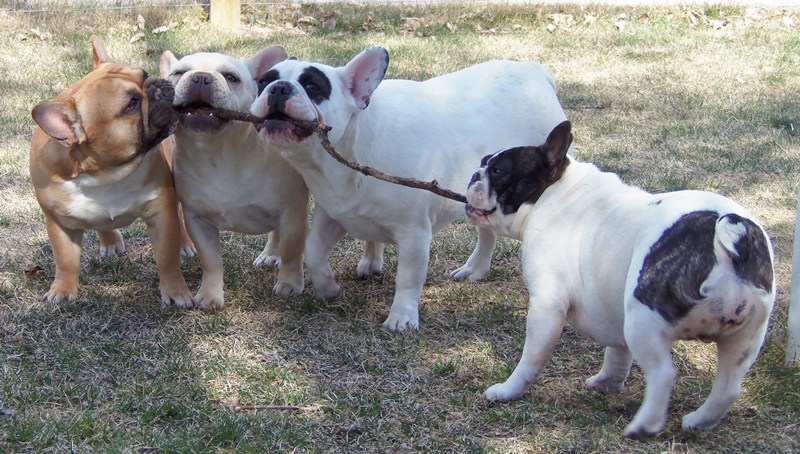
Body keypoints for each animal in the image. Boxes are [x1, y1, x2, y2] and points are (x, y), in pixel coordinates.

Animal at [29, 36, 192, 307]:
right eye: (131, 104)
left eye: (143, 74)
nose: (158, 87)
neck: (106, 173)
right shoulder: (59, 223)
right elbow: (64, 260)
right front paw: (62, 290)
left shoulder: (161, 212)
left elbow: (167, 258)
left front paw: (176, 292)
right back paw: (109, 240)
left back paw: (185, 244)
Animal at [159, 47, 313, 309]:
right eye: (178, 73)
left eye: (231, 78)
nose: (200, 77)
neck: (219, 154)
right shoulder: (198, 221)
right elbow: (211, 261)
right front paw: (210, 294)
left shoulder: (293, 213)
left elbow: (292, 250)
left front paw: (290, 284)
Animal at [249, 47, 571, 330]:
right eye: (263, 81)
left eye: (313, 86)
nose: (278, 88)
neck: (348, 154)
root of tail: (534, 70)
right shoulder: (334, 213)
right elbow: (314, 251)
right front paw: (328, 287)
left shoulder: (413, 232)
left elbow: (408, 277)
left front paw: (402, 317)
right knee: (486, 231)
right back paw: (476, 268)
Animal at [465, 121, 775, 437]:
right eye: (483, 162)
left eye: (498, 171)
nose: (475, 174)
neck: (554, 194)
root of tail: (731, 229)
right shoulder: (613, 308)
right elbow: (617, 353)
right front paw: (608, 383)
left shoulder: (547, 306)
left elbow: (532, 358)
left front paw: (508, 390)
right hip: (745, 336)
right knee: (728, 386)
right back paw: (699, 421)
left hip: (644, 320)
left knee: (663, 373)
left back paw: (644, 426)